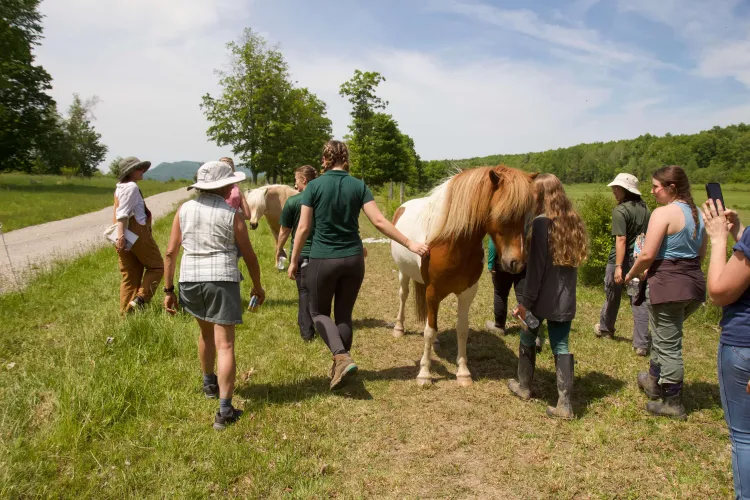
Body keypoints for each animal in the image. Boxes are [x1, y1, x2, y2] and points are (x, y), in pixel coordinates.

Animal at [390, 165, 537, 387]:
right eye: (503, 215)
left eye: (527, 217)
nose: (516, 263)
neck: (450, 242)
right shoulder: (433, 292)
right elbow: (428, 331)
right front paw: (424, 374)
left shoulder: (466, 293)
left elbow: (461, 330)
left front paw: (463, 373)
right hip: (403, 273)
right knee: (403, 295)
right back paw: (399, 328)